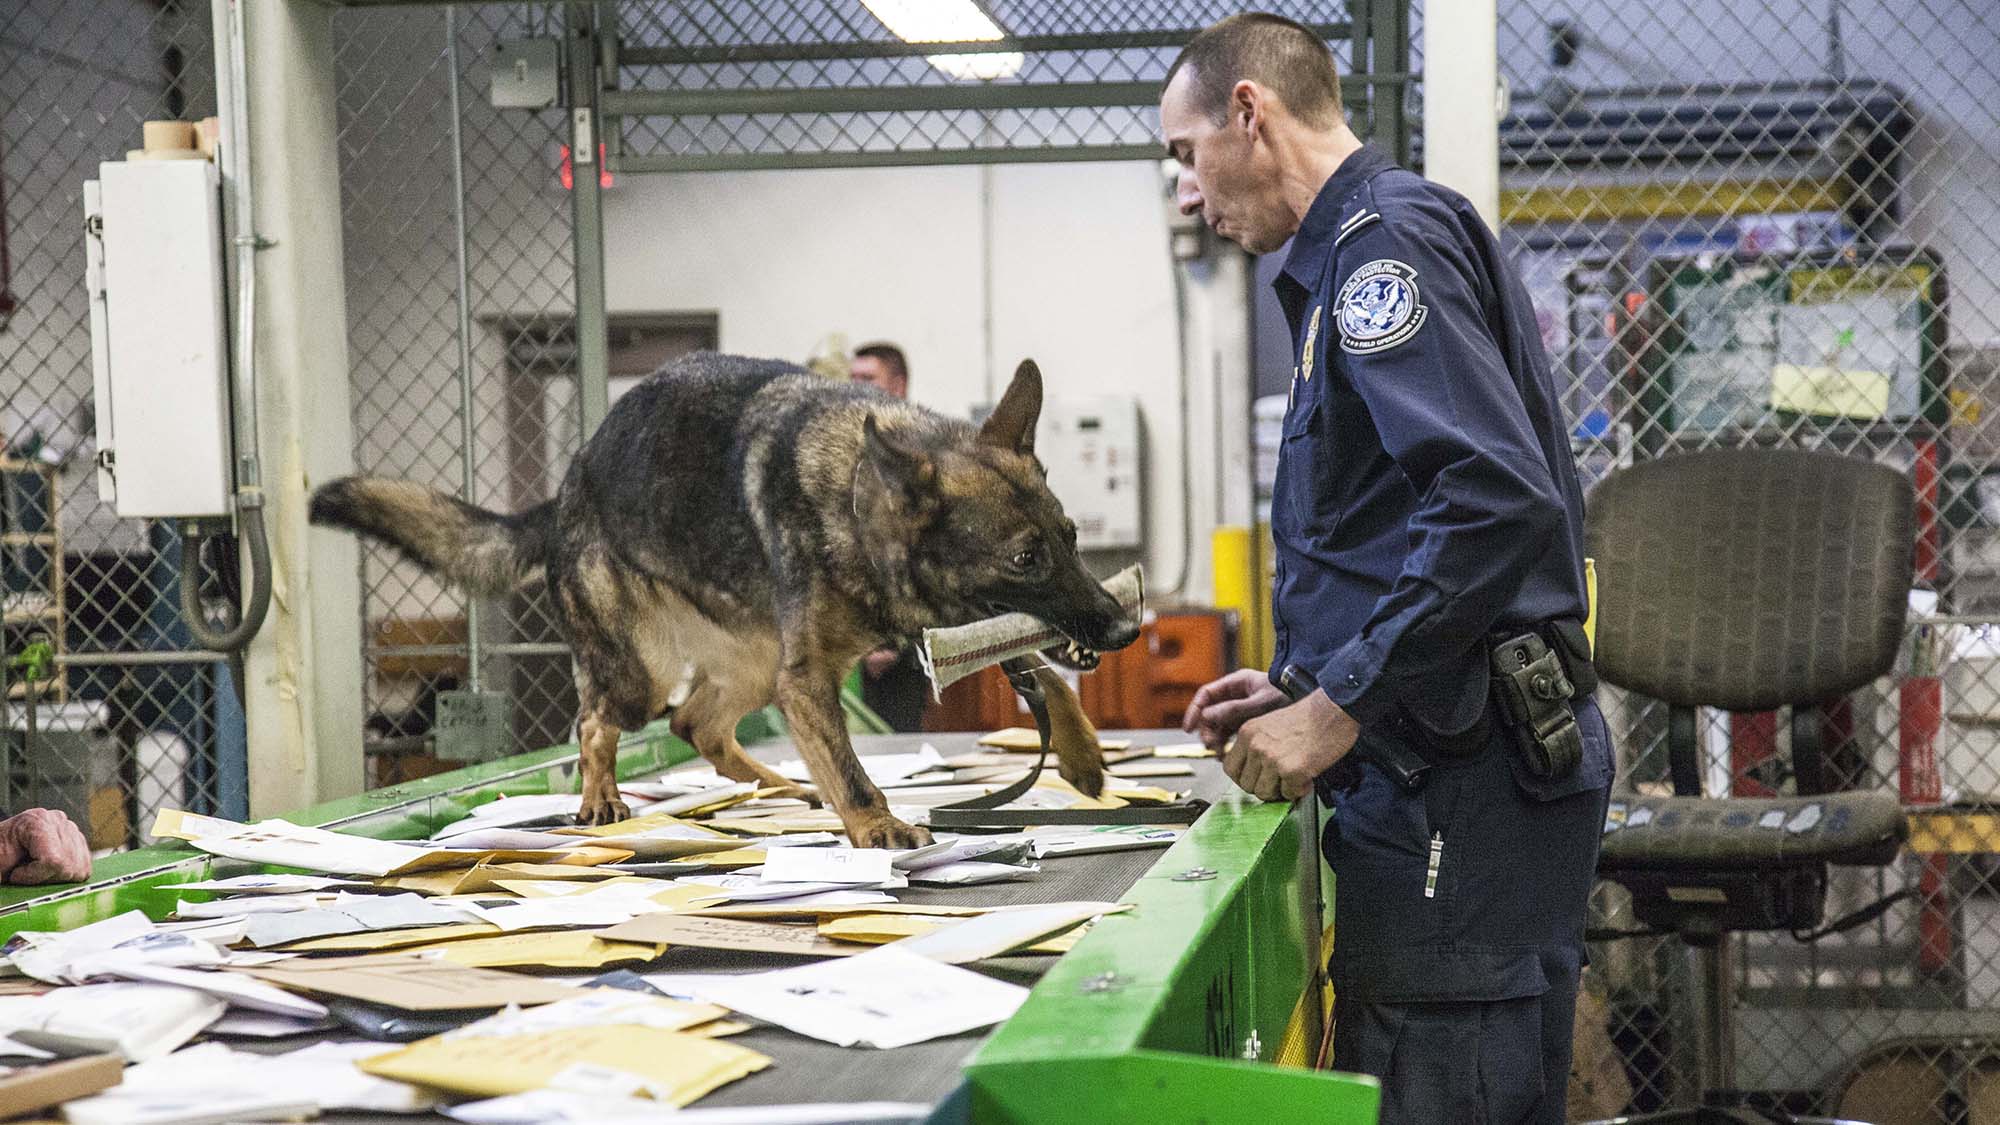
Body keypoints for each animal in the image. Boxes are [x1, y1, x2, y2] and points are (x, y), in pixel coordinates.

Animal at [304, 350, 1136, 840]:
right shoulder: (811, 678)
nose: (1123, 627)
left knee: (696, 725)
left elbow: (1041, 672)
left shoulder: (940, 634)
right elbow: (852, 768)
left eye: (1070, 536)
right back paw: (603, 797)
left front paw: (1082, 753)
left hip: (753, 667)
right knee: (600, 722)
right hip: (645, 673)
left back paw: (784, 785)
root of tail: (565, 489)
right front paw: (877, 826)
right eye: (1026, 557)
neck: (856, 496)